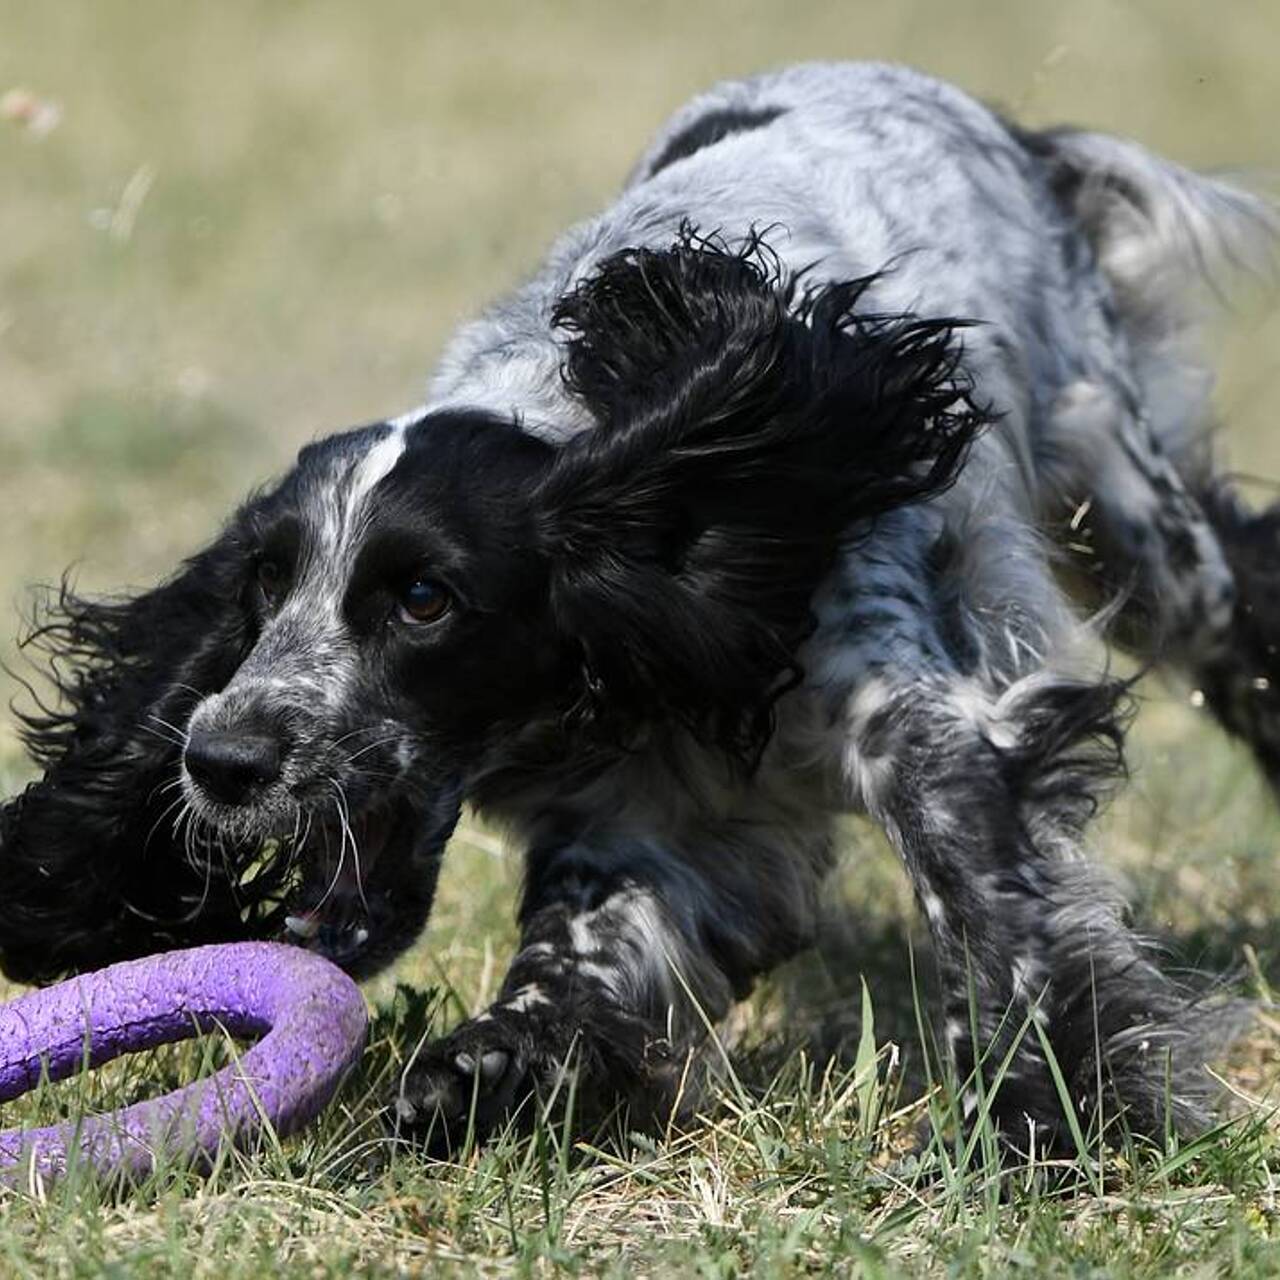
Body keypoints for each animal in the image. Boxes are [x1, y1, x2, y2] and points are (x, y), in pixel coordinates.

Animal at [2, 62, 1280, 1152]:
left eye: (422, 597)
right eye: (266, 583)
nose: (218, 759)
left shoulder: (926, 734)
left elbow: (991, 914)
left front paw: (1033, 1124)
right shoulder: (634, 820)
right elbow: (575, 952)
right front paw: (483, 1067)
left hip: (1129, 505)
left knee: (1234, 590)